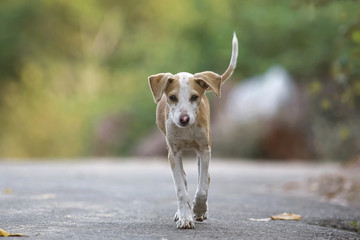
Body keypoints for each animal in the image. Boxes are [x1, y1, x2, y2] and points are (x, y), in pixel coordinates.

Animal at [148, 32, 238, 228]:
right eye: (172, 97)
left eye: (194, 97)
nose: (184, 119)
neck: (187, 131)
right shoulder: (173, 154)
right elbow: (181, 189)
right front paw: (185, 217)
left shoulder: (204, 150)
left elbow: (202, 187)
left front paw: (199, 210)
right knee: (184, 179)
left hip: (200, 152)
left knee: (204, 178)